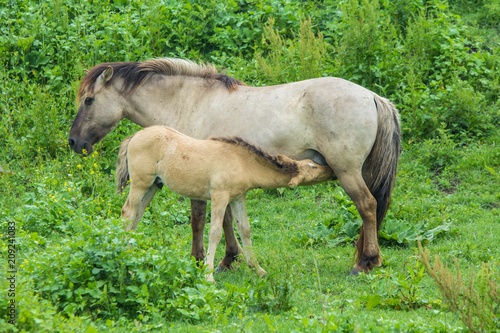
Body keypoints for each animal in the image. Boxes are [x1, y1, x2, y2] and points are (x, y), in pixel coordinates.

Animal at [116, 126, 334, 282]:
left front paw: (258, 269)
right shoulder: (219, 195)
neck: (241, 161)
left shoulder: (238, 197)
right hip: (140, 183)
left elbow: (244, 229)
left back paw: (131, 256)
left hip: (153, 185)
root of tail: (134, 136)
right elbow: (215, 232)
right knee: (128, 213)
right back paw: (124, 256)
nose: (330, 169)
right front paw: (209, 275)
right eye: (313, 168)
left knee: (136, 217)